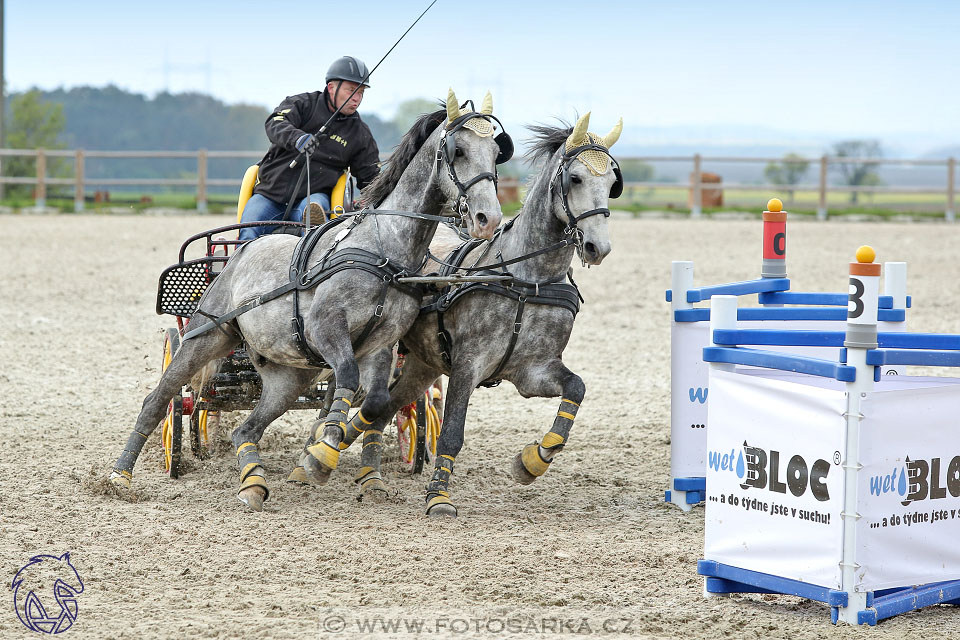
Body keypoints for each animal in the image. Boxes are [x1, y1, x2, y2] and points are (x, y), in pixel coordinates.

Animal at [110, 89, 510, 510]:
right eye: (458, 150)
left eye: (495, 152)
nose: (487, 219)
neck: (383, 250)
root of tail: (244, 249)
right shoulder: (326, 328)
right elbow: (347, 378)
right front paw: (322, 453)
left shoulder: (381, 345)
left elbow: (375, 401)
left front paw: (326, 452)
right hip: (205, 336)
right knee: (160, 399)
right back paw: (119, 476)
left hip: (289, 376)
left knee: (246, 428)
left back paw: (253, 484)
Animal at [330, 114, 620, 516]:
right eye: (575, 178)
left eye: (611, 182)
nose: (598, 247)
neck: (525, 279)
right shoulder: (468, 363)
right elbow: (452, 433)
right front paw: (438, 497)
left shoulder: (533, 370)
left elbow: (576, 388)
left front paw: (532, 461)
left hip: (422, 364)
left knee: (384, 408)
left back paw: (358, 465)